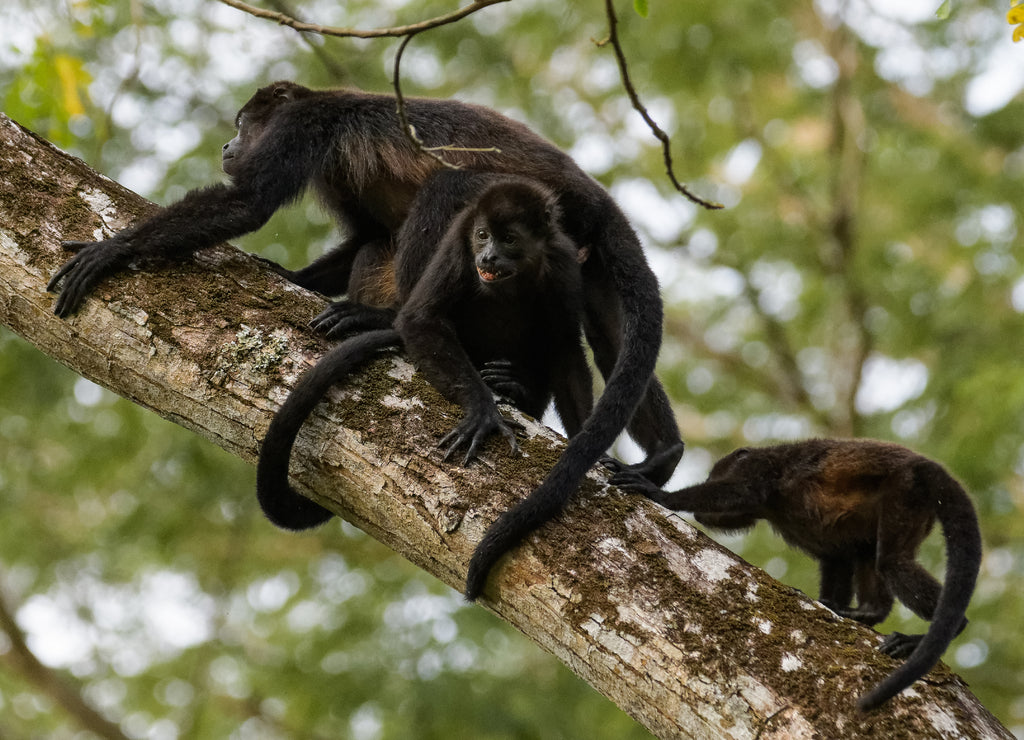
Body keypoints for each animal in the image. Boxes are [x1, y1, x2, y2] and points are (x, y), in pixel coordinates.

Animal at [257, 171, 594, 535]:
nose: (488, 256)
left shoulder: (563, 262)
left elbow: (567, 347)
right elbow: (421, 318)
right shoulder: (460, 238)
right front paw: (483, 412)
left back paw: (514, 386)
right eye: (482, 236)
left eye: (509, 239)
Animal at [610, 438, 982, 711]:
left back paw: (939, 630)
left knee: (892, 561)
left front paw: (659, 493)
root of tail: (925, 466)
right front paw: (829, 604)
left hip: (906, 491)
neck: (768, 510)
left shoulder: (760, 470)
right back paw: (867, 612)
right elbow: (837, 554)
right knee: (869, 553)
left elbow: (741, 492)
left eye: (715, 475)